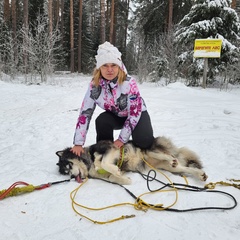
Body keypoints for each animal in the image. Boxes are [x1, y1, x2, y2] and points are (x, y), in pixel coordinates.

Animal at [55, 136, 206, 185]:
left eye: (68, 166)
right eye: (66, 174)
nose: (73, 178)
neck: (89, 160)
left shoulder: (110, 149)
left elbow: (102, 162)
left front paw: (115, 170)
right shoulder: (106, 175)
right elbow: (112, 177)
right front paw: (124, 179)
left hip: (150, 151)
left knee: (166, 156)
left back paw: (170, 158)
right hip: (167, 167)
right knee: (186, 168)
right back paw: (200, 175)